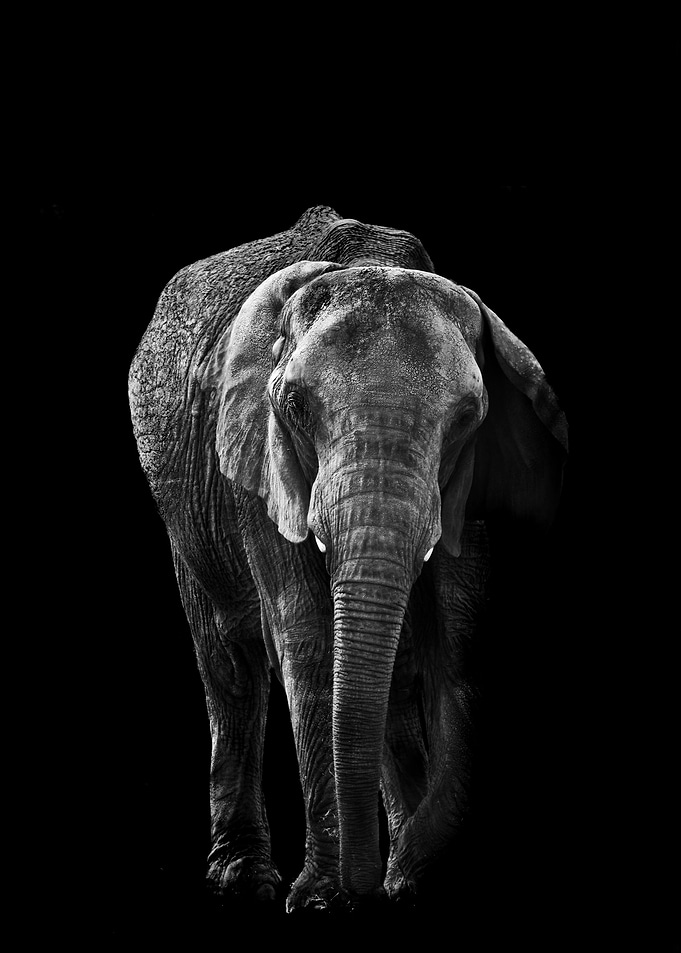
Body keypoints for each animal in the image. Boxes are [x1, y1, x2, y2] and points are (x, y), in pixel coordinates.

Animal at [128, 205, 567, 915]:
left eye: (470, 416)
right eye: (293, 407)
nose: (376, 885)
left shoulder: (474, 476)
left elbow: (452, 644)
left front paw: (411, 880)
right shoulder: (257, 461)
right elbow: (308, 638)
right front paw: (324, 900)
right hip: (181, 506)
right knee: (230, 659)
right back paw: (244, 879)